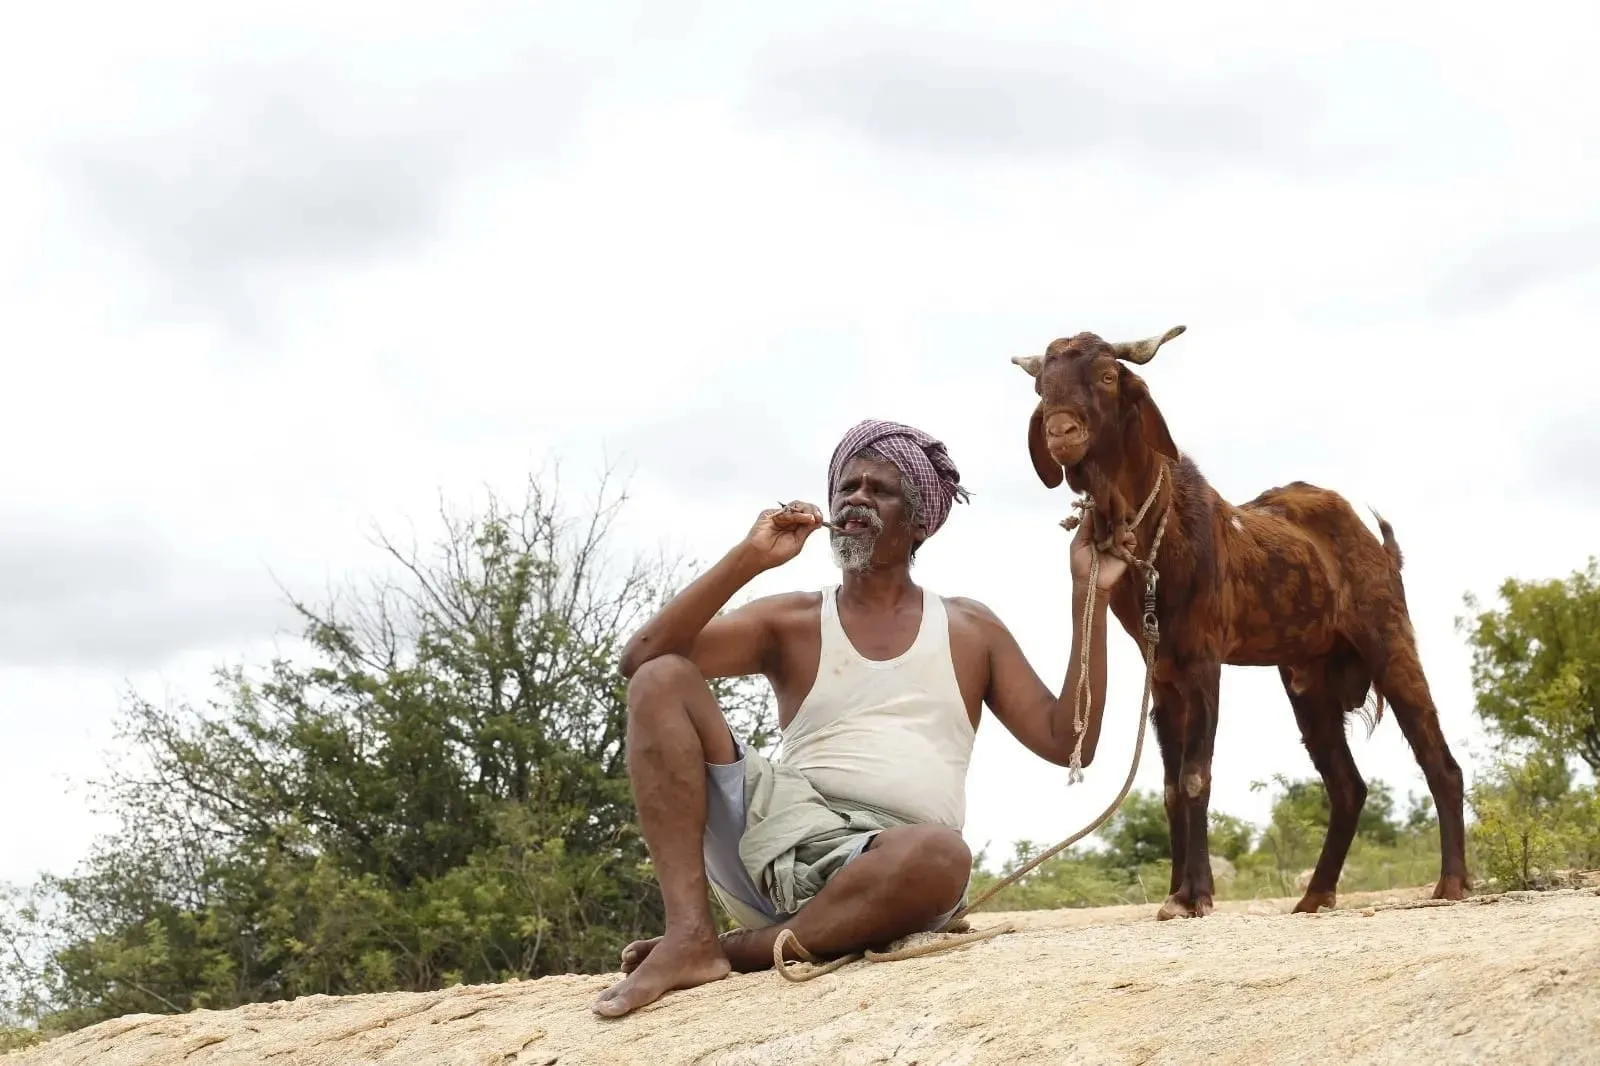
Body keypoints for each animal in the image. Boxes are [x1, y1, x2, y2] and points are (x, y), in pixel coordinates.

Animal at [1012, 326, 1468, 919]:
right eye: (1042, 386)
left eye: (1109, 375)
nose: (1061, 432)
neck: (1156, 537)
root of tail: (1381, 550)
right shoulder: (1162, 674)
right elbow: (1168, 786)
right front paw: (1175, 892)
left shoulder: (1205, 662)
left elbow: (1194, 777)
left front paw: (1198, 894)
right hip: (1306, 679)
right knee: (1348, 786)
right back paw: (1315, 894)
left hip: (1389, 639)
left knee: (1438, 760)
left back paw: (1452, 882)